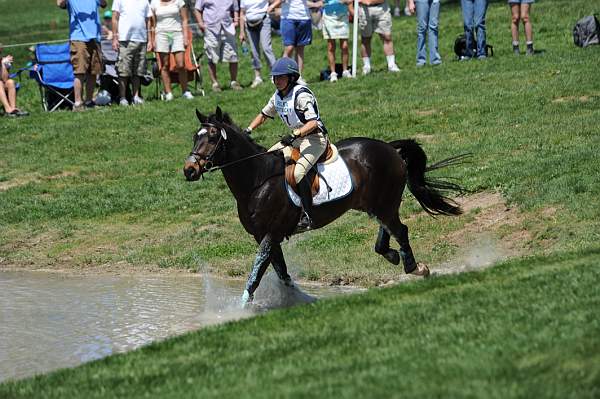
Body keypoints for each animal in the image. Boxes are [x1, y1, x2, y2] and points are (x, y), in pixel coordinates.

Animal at [183, 108, 464, 308]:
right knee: (389, 228)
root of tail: (388, 147)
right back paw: (391, 254)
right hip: (374, 203)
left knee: (400, 229)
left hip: (384, 201)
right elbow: (281, 272)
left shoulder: (271, 234)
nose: (189, 170)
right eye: (195, 137)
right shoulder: (263, 236)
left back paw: (416, 268)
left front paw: (239, 309)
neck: (257, 180)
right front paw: (297, 300)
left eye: (212, 138)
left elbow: (256, 273)